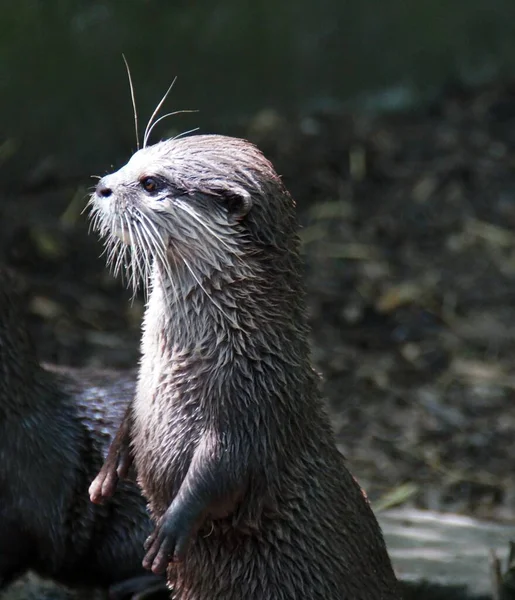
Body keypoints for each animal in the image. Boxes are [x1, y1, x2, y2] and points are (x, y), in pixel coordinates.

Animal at [87, 136, 404, 600]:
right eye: (131, 160)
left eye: (150, 183)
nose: (102, 187)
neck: (233, 346)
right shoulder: (148, 388)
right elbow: (131, 415)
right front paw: (107, 472)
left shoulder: (254, 406)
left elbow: (224, 473)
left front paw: (171, 528)